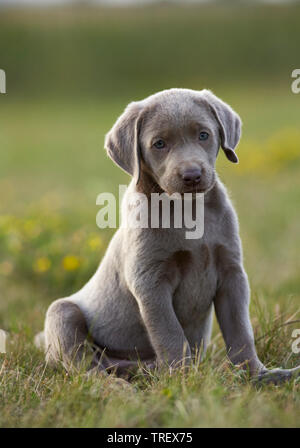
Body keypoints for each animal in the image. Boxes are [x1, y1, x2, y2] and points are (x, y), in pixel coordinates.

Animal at [37, 89, 300, 384]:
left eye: (203, 135)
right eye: (159, 144)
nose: (192, 175)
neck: (189, 212)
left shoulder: (232, 274)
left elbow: (240, 330)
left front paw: (258, 375)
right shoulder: (150, 281)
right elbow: (170, 333)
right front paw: (184, 379)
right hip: (62, 314)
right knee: (87, 369)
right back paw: (119, 386)